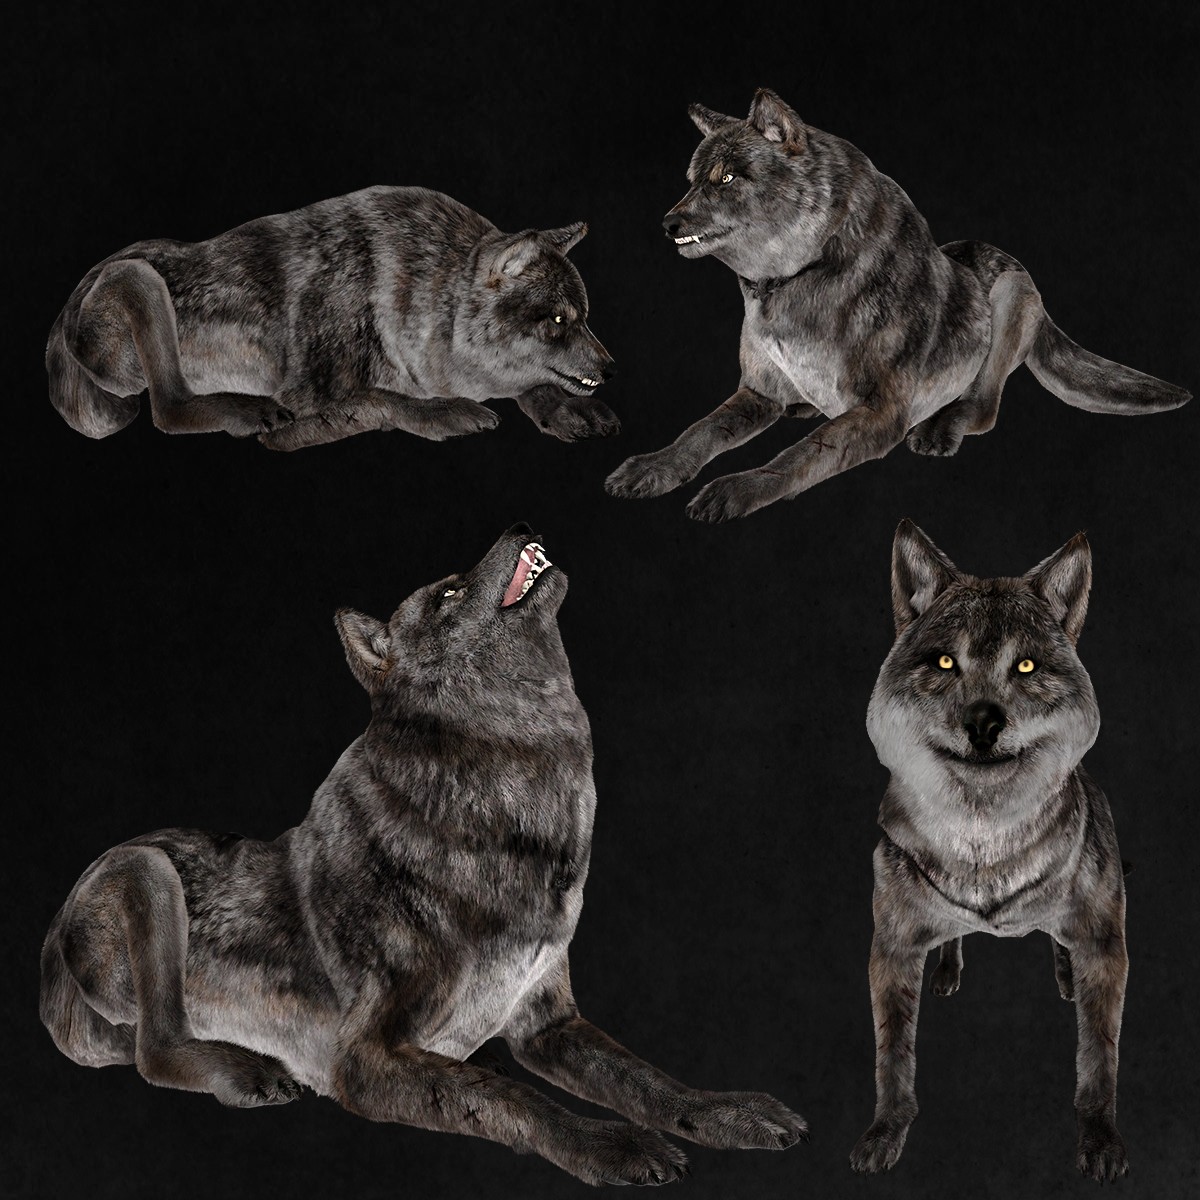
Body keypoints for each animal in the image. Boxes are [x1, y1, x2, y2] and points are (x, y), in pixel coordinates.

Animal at [39, 524, 807, 1184]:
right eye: (448, 595)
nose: (520, 524)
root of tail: (49, 946)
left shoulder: (549, 1025)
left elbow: (646, 1078)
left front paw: (725, 1110)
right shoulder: (365, 1057)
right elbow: (508, 1097)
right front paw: (610, 1145)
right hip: (147, 871)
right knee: (153, 1047)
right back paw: (248, 1072)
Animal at [47, 188, 618, 449]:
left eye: (584, 317)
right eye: (558, 321)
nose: (612, 368)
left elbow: (534, 386)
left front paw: (570, 410)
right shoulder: (303, 405)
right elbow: (381, 400)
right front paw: (446, 413)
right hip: (139, 277)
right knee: (167, 409)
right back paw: (244, 410)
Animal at [605, 89, 1189, 521]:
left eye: (726, 178)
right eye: (691, 181)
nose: (668, 224)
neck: (799, 277)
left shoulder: (882, 412)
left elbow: (799, 455)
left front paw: (738, 488)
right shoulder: (757, 392)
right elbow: (699, 431)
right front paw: (652, 466)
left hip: (1009, 296)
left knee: (983, 407)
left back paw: (939, 428)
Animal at [850, 519, 1129, 1182]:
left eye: (1024, 666)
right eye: (945, 661)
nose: (983, 723)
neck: (983, 844)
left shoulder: (1107, 947)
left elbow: (1097, 1061)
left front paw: (1101, 1142)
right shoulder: (890, 948)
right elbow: (892, 1059)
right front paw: (885, 1134)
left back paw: (1063, 978)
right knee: (954, 938)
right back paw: (949, 970)